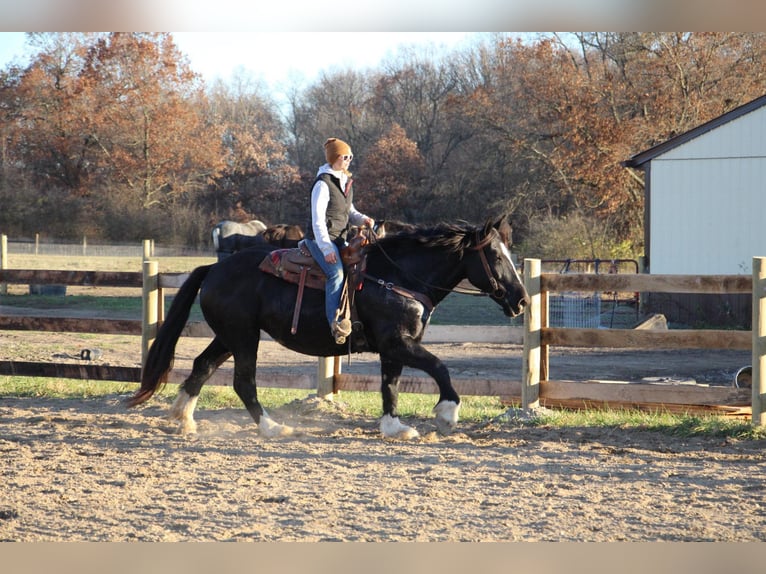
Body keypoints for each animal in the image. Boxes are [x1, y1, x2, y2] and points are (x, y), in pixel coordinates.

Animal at [130, 216, 528, 440]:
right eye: (495, 256)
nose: (522, 300)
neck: (396, 277)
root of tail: (213, 268)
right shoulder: (398, 343)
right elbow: (440, 368)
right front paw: (447, 414)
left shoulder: (395, 348)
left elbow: (391, 386)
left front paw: (394, 427)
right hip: (243, 338)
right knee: (243, 382)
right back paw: (272, 427)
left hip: (229, 336)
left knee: (203, 366)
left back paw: (184, 419)